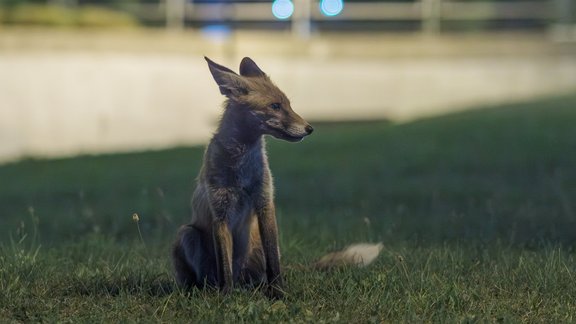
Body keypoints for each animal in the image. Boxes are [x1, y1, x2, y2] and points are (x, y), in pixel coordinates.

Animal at [173, 56, 382, 298]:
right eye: (275, 106)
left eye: (289, 104)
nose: (310, 129)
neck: (241, 169)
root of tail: (243, 279)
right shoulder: (220, 211)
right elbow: (224, 265)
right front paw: (226, 296)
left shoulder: (265, 202)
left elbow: (273, 260)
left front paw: (279, 292)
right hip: (187, 234)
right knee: (209, 276)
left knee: (264, 270)